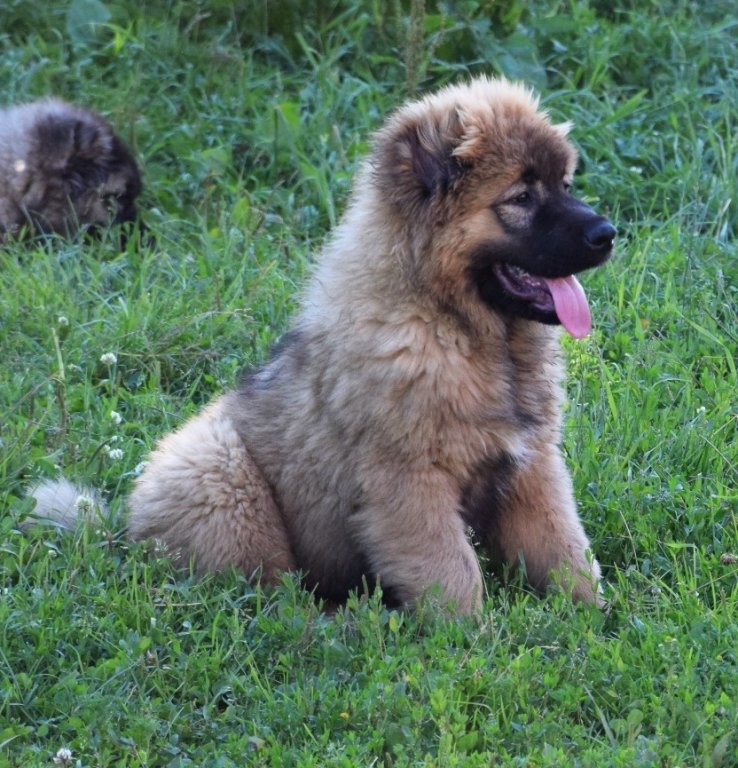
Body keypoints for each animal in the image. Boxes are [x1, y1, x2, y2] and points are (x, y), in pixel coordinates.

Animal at [30, 78, 616, 616]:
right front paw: (472, 642)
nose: (608, 233)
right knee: (269, 596)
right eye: (520, 198)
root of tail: (123, 530)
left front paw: (593, 620)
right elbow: (451, 573)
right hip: (222, 476)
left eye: (566, 184)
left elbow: (565, 550)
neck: (458, 328)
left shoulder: (532, 466)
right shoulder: (408, 482)